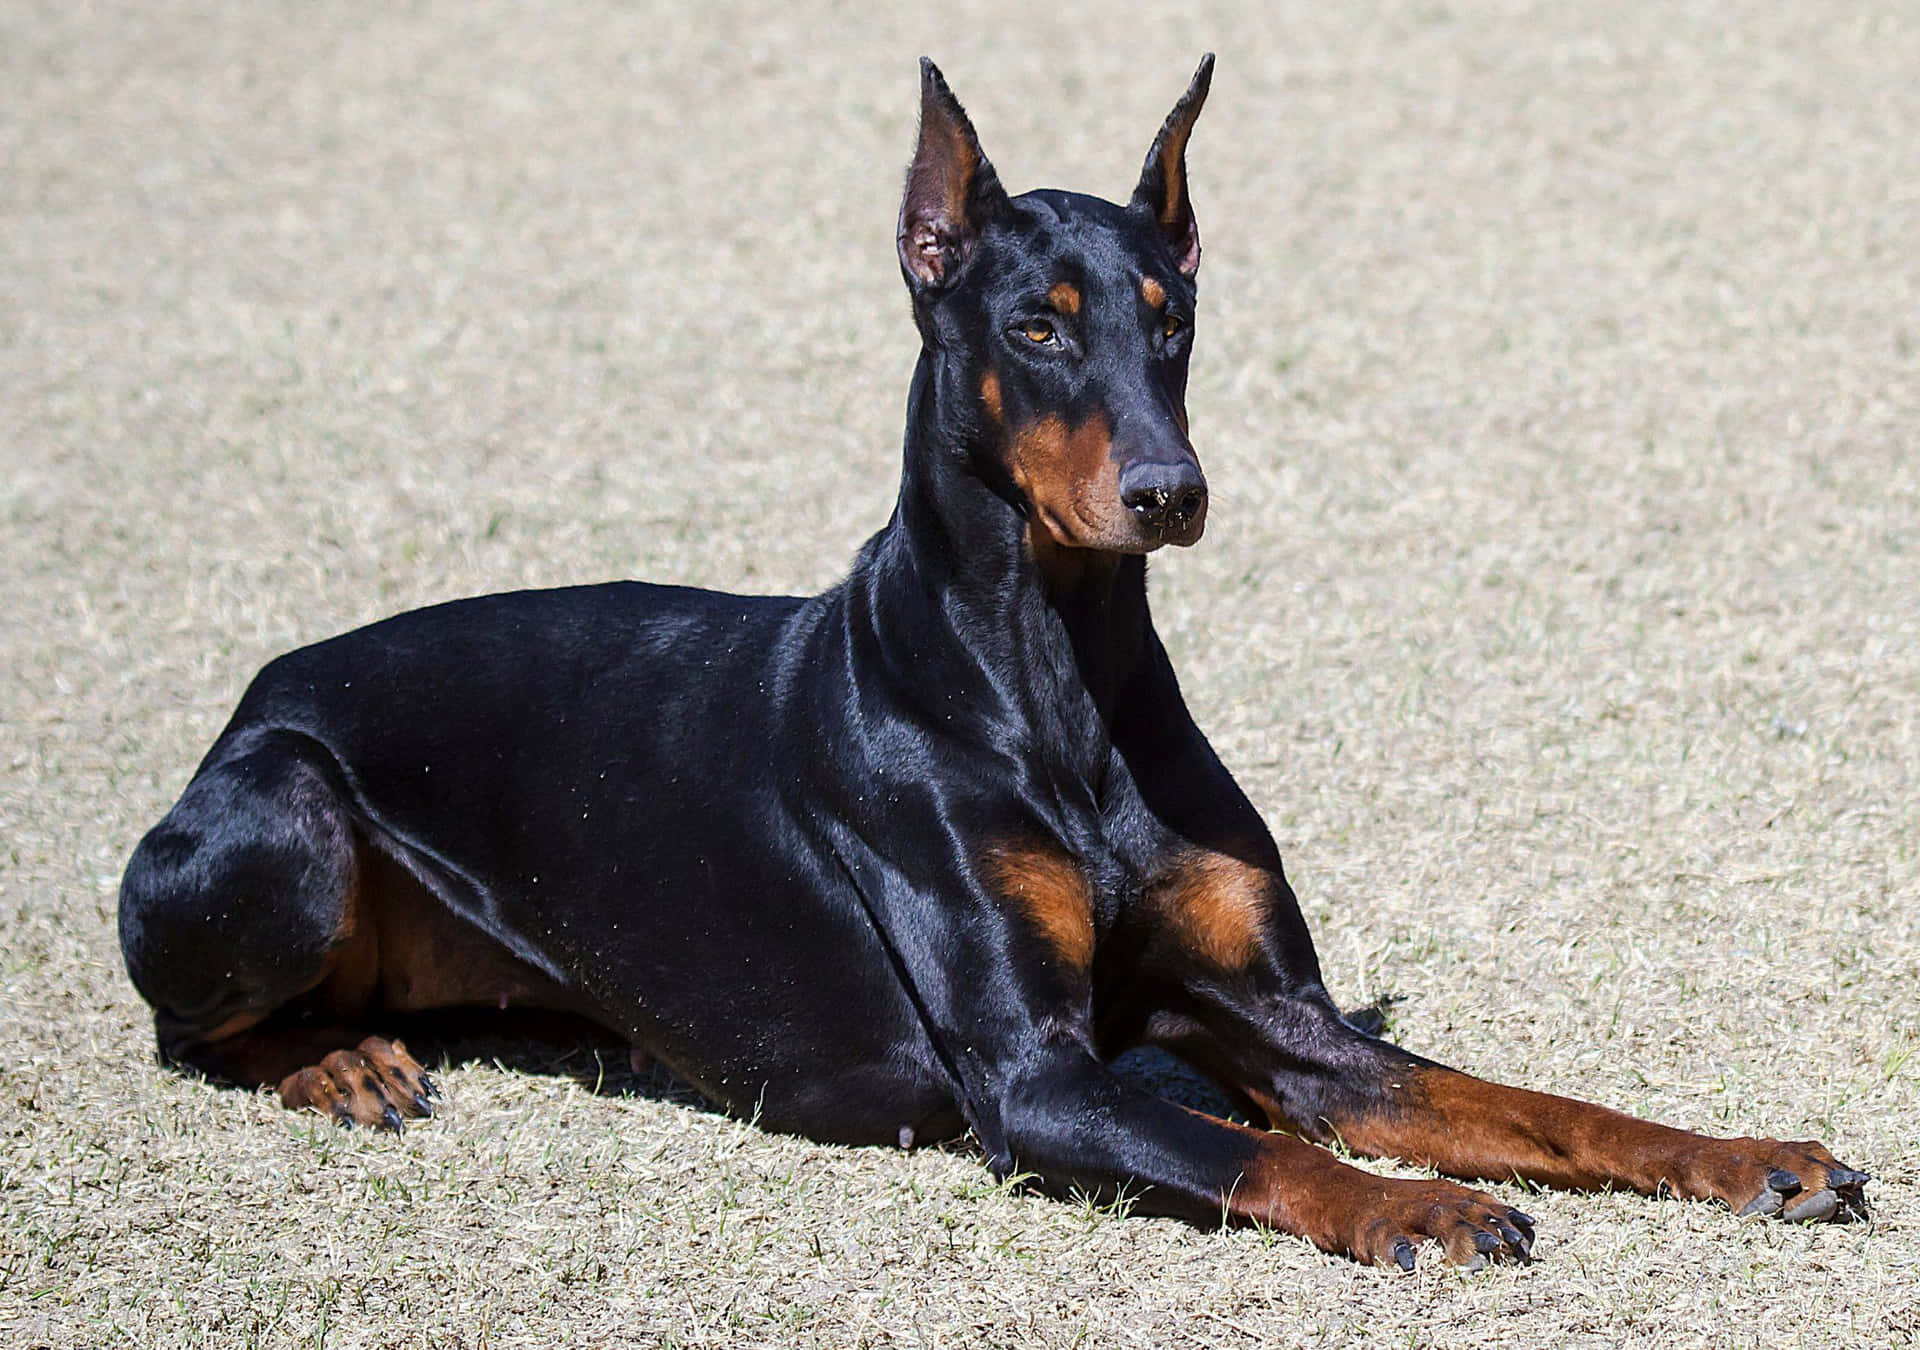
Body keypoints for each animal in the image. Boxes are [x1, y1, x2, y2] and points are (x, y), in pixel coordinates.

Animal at [116, 58, 1858, 1275]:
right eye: (1036, 325)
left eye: (1172, 318)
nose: (1171, 489)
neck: (1057, 673)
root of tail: (261, 688)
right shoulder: (1031, 1077)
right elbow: (1269, 1154)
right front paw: (1414, 1212)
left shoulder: (1285, 1021)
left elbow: (1526, 1103)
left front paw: (1744, 1151)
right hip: (282, 818)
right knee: (188, 1030)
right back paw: (342, 1063)